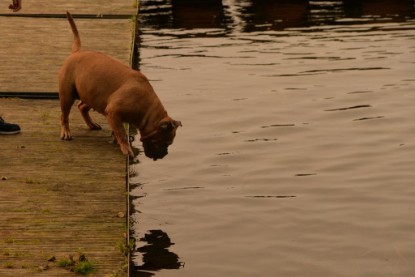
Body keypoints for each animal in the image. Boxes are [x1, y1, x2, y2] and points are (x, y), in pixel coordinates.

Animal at [59, 12, 182, 160]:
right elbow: (122, 134)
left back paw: (91, 124)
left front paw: (116, 139)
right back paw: (66, 132)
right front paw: (126, 148)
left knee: (82, 106)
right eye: (165, 143)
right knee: (64, 116)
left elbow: (117, 131)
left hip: (94, 95)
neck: (147, 110)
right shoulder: (113, 112)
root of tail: (76, 52)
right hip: (67, 95)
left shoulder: (114, 114)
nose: (164, 155)